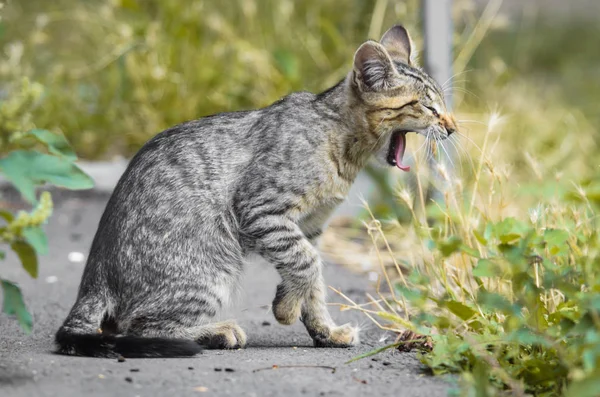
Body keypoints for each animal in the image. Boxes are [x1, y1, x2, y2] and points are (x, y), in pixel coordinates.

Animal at [56, 24, 458, 356]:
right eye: (427, 106)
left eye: (442, 104)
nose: (452, 126)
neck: (343, 147)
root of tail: (94, 279)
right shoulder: (262, 209)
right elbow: (306, 263)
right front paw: (286, 308)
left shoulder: (311, 227)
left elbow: (312, 276)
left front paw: (323, 330)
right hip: (212, 267)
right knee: (139, 327)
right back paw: (216, 332)